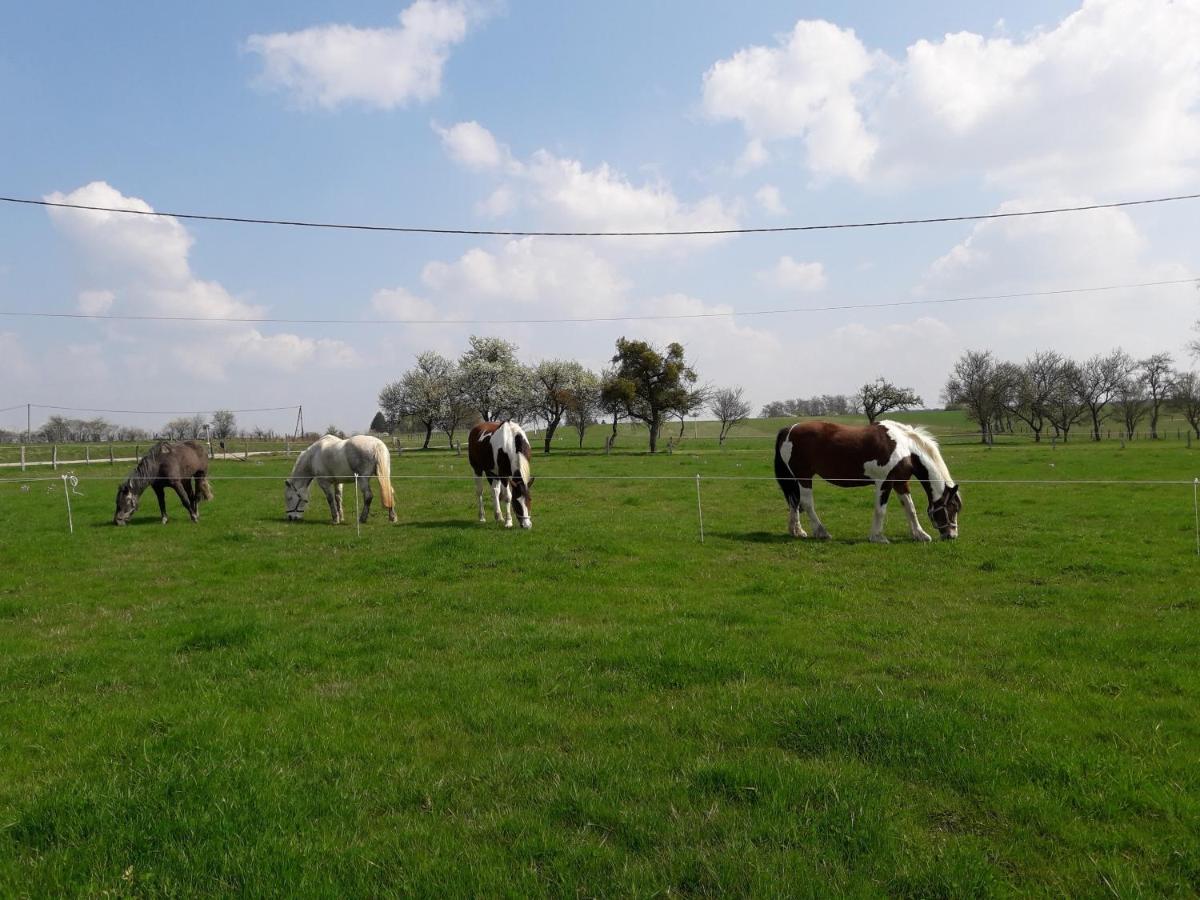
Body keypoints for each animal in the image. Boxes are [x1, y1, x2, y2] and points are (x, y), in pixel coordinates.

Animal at [772, 422, 960, 542]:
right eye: (952, 508)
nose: (952, 535)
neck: (906, 448)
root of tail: (788, 430)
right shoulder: (884, 482)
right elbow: (880, 510)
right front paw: (877, 537)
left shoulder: (901, 483)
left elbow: (910, 509)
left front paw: (920, 534)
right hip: (804, 478)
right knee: (806, 503)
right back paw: (821, 532)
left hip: (795, 479)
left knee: (794, 502)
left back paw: (797, 531)